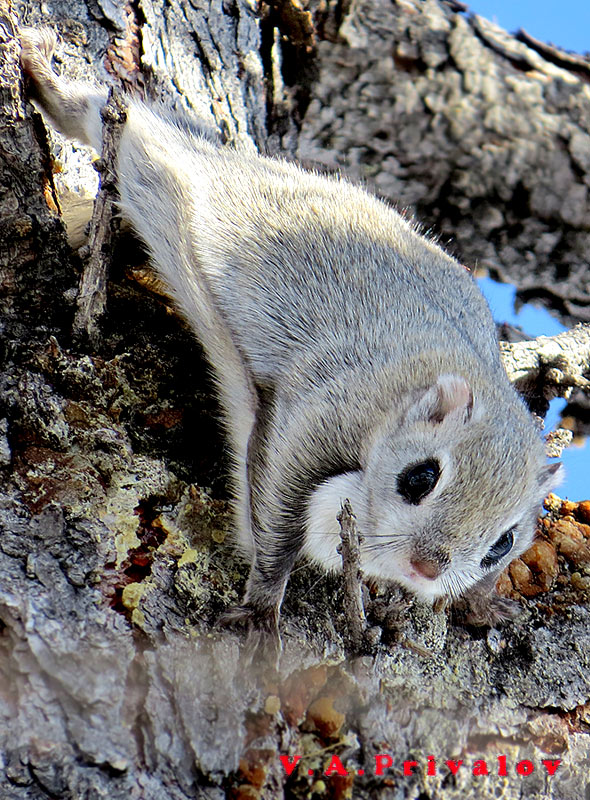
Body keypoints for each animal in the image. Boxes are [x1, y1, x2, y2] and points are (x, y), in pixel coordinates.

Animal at [19, 28, 564, 636]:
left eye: (503, 544)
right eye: (420, 478)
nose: (426, 567)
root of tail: (237, 165)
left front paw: (482, 602)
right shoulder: (325, 417)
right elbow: (278, 510)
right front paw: (263, 603)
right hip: (165, 172)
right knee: (120, 122)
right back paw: (45, 78)